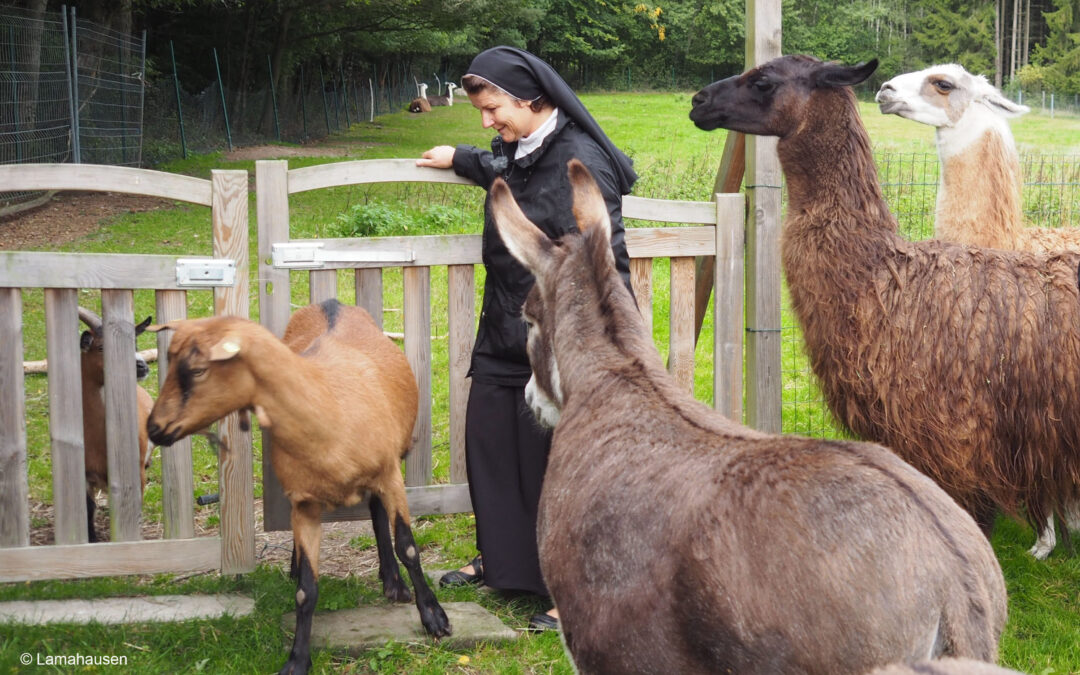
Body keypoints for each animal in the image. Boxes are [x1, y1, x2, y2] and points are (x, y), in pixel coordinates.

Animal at [78, 304, 155, 542]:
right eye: (101, 347)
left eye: (135, 343)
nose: (141, 366)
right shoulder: (84, 474)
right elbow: (88, 508)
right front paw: (92, 539)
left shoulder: (136, 471)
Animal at [145, 300, 449, 673]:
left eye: (199, 370)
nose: (154, 428)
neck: (328, 412)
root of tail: (331, 303)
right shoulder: (305, 504)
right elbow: (306, 589)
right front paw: (297, 659)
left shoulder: (390, 474)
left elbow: (408, 547)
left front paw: (434, 617)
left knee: (378, 512)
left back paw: (394, 582)